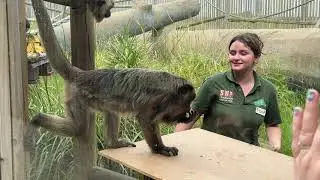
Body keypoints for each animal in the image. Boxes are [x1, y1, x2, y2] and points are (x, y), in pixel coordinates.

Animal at [30, 0, 195, 156]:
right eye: (188, 101)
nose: (191, 109)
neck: (173, 89)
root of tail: (82, 74)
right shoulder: (160, 99)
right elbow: (145, 119)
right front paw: (160, 149)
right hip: (76, 97)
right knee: (77, 128)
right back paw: (37, 119)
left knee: (112, 109)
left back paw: (113, 143)